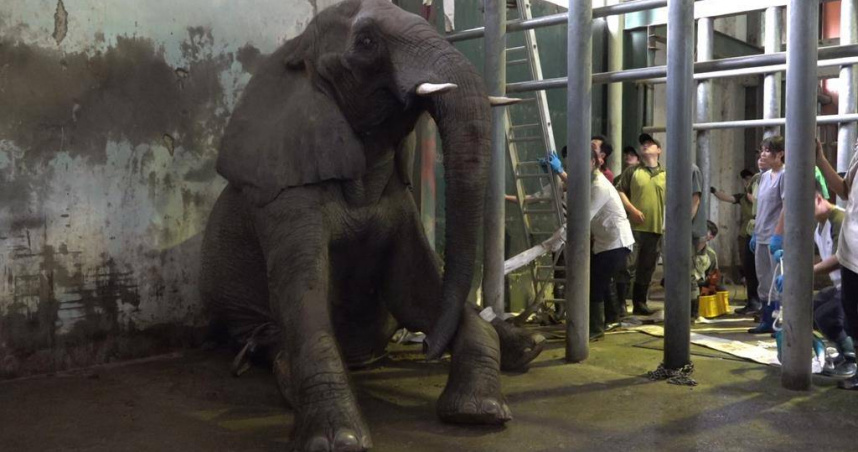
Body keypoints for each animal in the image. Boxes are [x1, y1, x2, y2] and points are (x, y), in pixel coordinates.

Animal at [200, 1, 544, 450]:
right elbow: (305, 298)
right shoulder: (285, 198)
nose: (430, 352)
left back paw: (531, 346)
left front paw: (479, 412)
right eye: (365, 42)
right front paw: (338, 439)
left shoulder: (399, 204)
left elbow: (415, 291)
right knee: (269, 337)